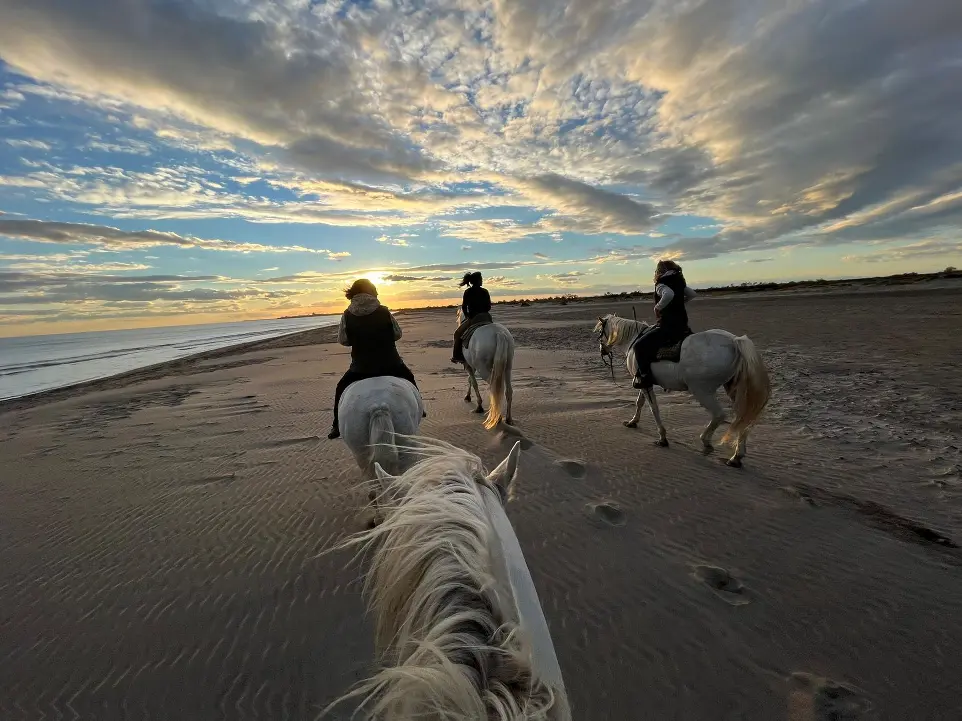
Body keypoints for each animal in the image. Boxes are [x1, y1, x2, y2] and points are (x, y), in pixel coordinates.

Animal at [592, 316, 772, 466]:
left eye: (600, 332)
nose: (602, 351)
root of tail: (734, 341)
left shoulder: (645, 384)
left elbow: (654, 408)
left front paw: (662, 437)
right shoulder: (643, 383)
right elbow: (639, 403)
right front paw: (633, 422)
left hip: (701, 390)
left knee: (719, 415)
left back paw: (706, 441)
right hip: (733, 389)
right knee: (743, 418)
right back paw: (736, 457)